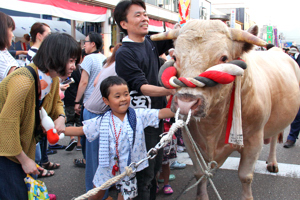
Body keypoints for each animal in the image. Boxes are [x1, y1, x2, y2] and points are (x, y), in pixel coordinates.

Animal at [151, 19, 300, 200]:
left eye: (223, 58)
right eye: (174, 57)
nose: (186, 102)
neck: (212, 126)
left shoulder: (254, 140)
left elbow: (245, 176)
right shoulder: (188, 138)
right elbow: (200, 173)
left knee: (273, 140)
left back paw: (272, 162)